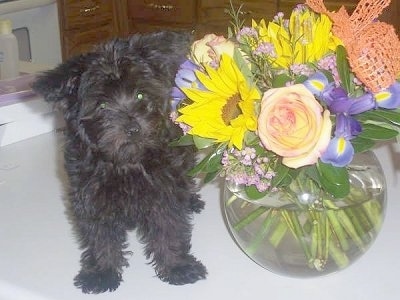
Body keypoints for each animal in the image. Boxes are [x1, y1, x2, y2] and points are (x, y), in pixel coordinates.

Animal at [32, 31, 206, 294]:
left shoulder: (164, 188)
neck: (126, 163)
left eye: (141, 94)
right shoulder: (90, 196)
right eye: (102, 105)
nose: (133, 128)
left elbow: (170, 227)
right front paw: (102, 272)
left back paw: (192, 201)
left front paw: (177, 266)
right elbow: (100, 237)